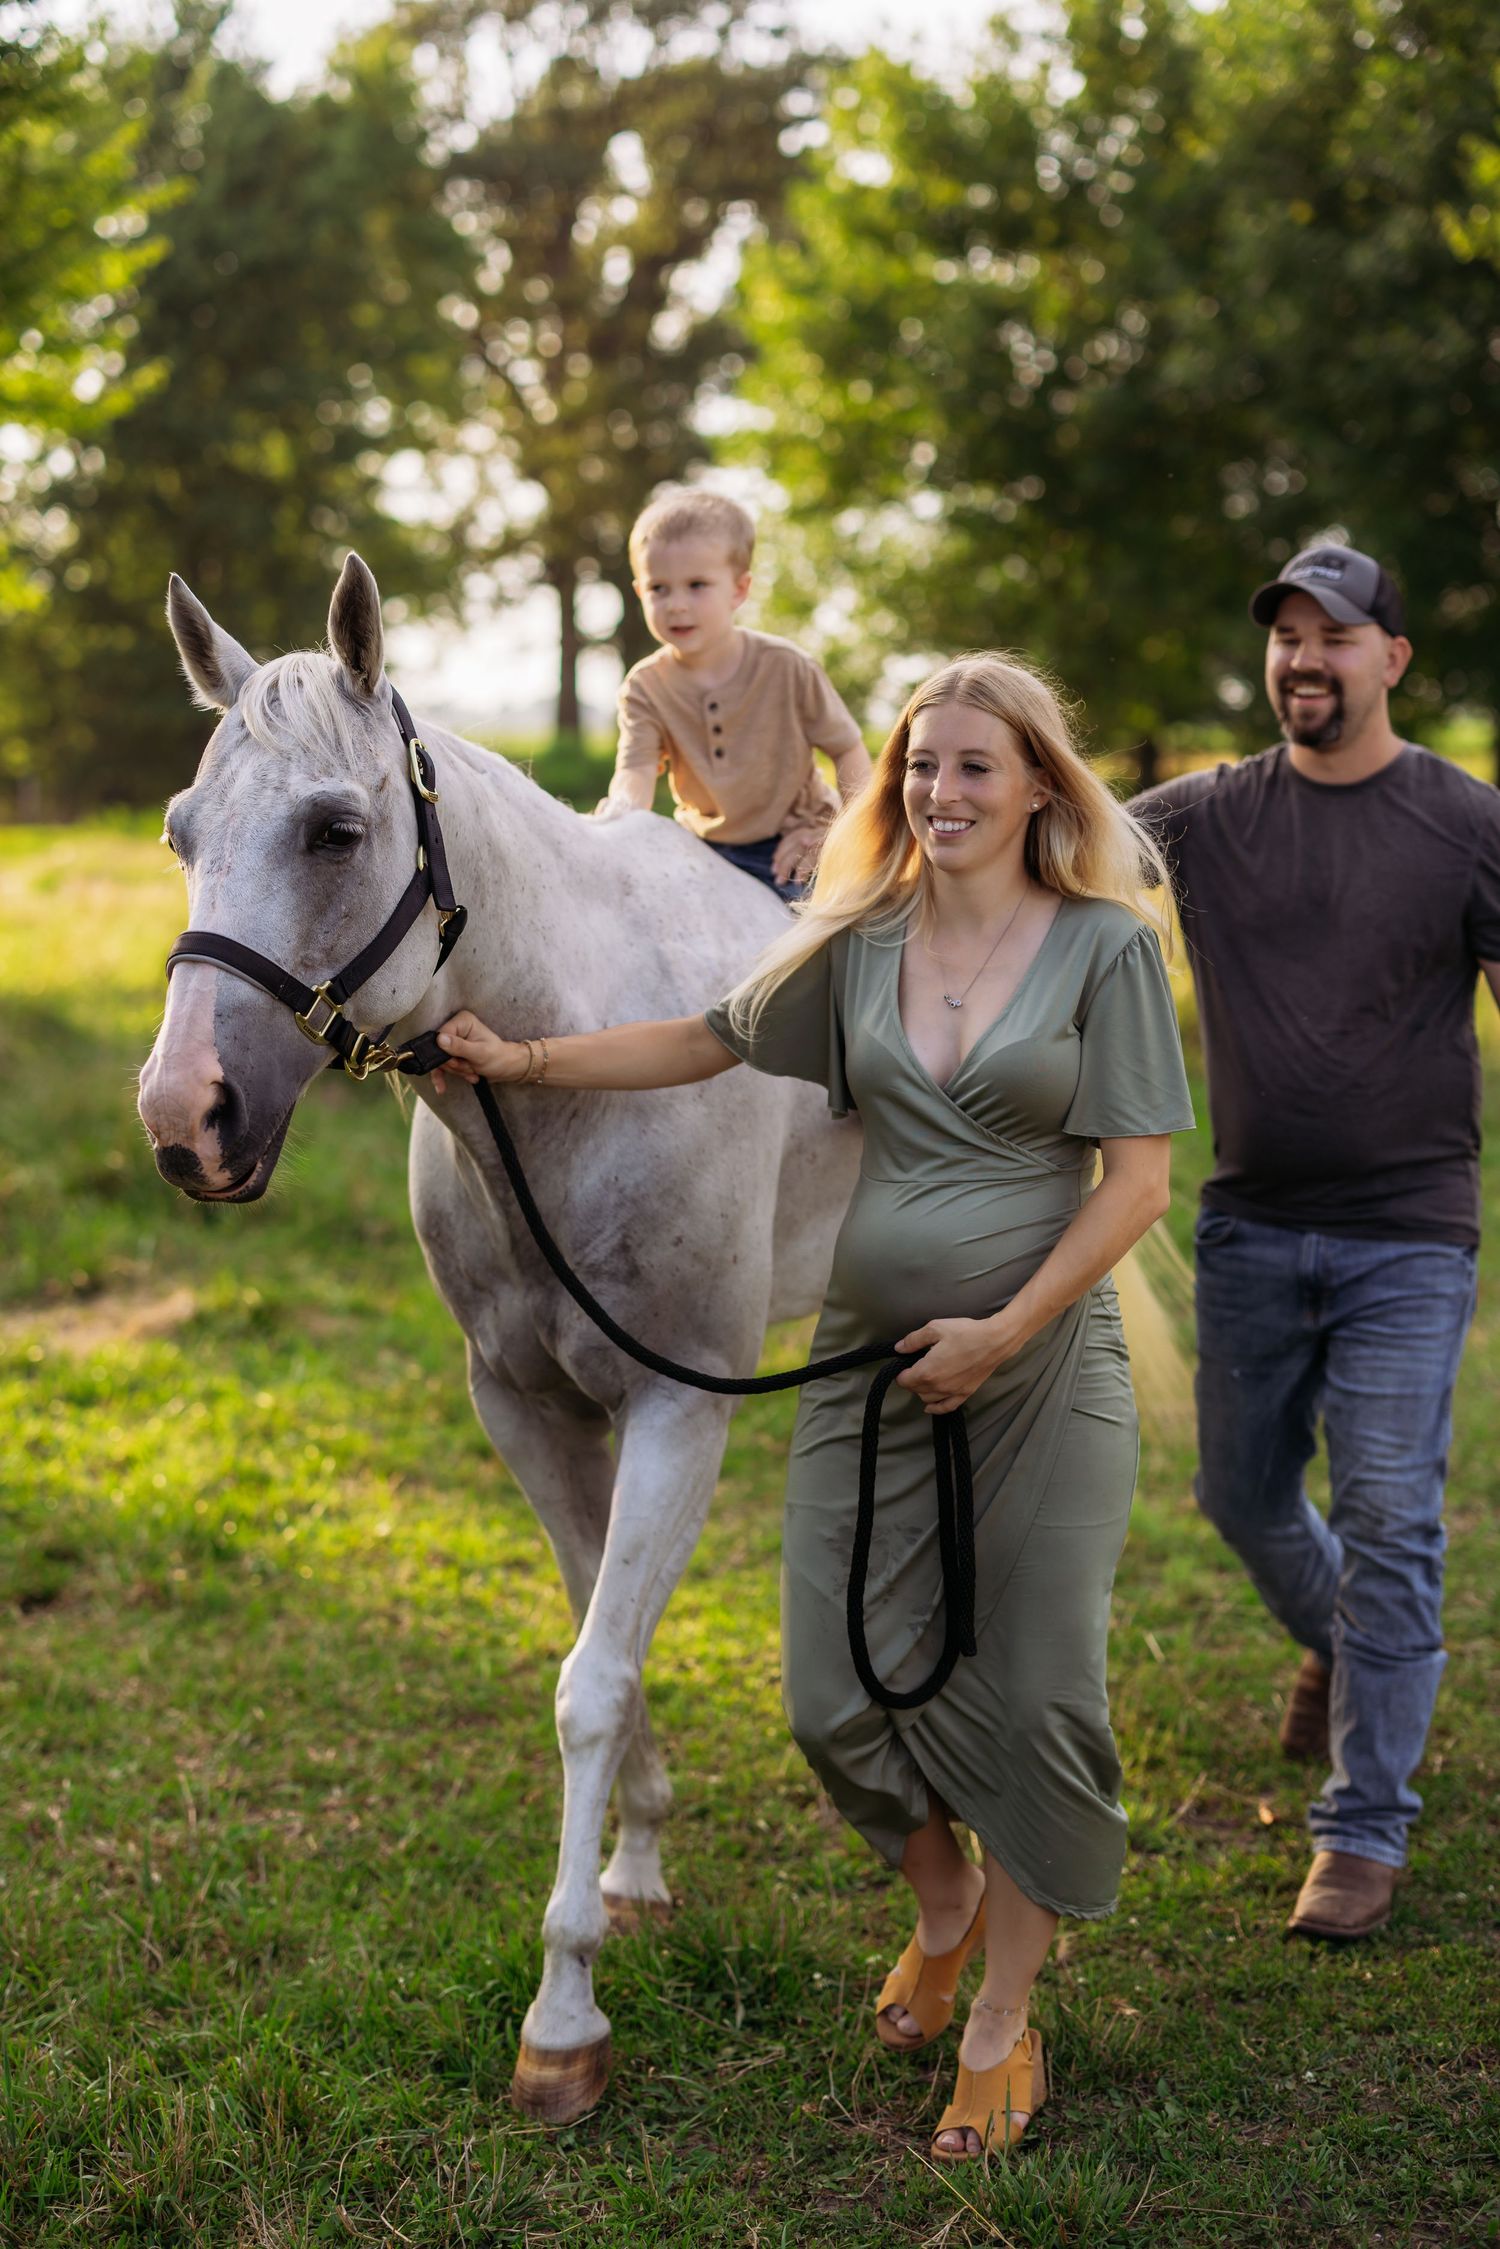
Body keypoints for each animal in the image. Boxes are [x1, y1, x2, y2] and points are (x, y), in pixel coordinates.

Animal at [137, 552, 861, 2124]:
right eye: (180, 833)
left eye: (335, 830)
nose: (184, 1117)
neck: (571, 1059)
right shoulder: (528, 1411)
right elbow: (607, 1638)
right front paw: (638, 1866)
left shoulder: (679, 1414)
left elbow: (589, 1683)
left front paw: (565, 2016)